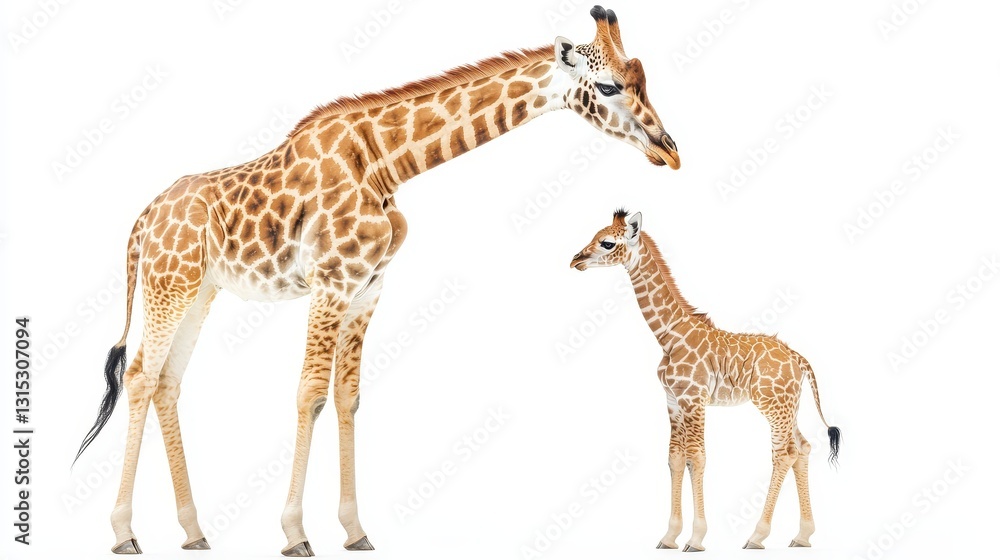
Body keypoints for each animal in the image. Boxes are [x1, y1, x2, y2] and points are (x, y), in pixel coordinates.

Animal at [73, 6, 680, 557]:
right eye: (608, 85)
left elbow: (348, 396)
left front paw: (354, 530)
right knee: (141, 376)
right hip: (169, 282)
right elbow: (310, 393)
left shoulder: (368, 288)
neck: (386, 163)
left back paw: (194, 532)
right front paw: (295, 533)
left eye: (645, 79)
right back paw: (124, 533)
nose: (669, 151)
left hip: (200, 290)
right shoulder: (331, 282)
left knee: (168, 381)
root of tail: (142, 221)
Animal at [570, 210, 842, 552]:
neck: (668, 336)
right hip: (788, 404)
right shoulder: (673, 401)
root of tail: (798, 358)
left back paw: (757, 536)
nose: (575, 260)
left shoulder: (694, 398)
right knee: (802, 447)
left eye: (607, 242)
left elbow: (697, 458)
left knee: (784, 454)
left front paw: (696, 538)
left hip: (771, 404)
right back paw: (802, 536)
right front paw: (669, 537)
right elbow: (675, 458)